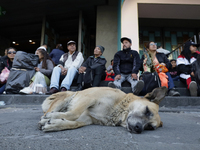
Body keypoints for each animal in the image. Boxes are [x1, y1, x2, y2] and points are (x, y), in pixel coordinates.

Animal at [38, 86, 167, 133]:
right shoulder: (89, 98)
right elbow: (74, 113)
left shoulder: (87, 119)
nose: (139, 129)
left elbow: (73, 124)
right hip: (65, 97)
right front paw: (52, 117)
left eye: (150, 127)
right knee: (46, 112)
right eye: (147, 110)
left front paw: (55, 124)